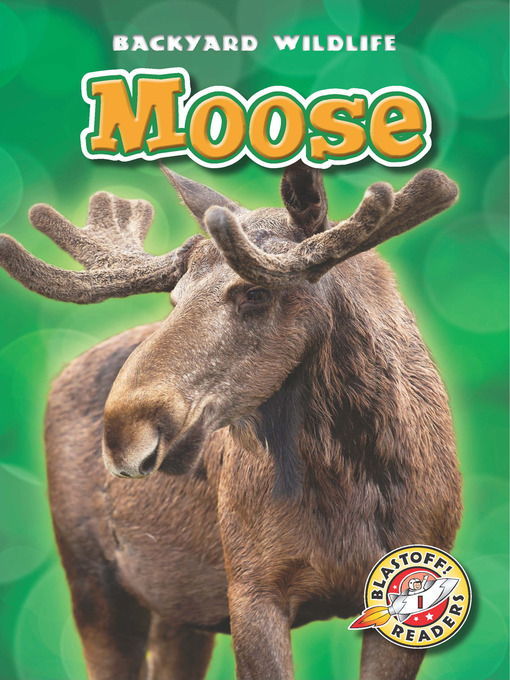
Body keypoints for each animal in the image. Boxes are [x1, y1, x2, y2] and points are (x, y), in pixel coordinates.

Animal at [0, 162, 462, 680]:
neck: (355, 475)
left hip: (180, 610)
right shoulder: (252, 588)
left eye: (256, 292)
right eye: (175, 298)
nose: (121, 433)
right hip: (93, 583)